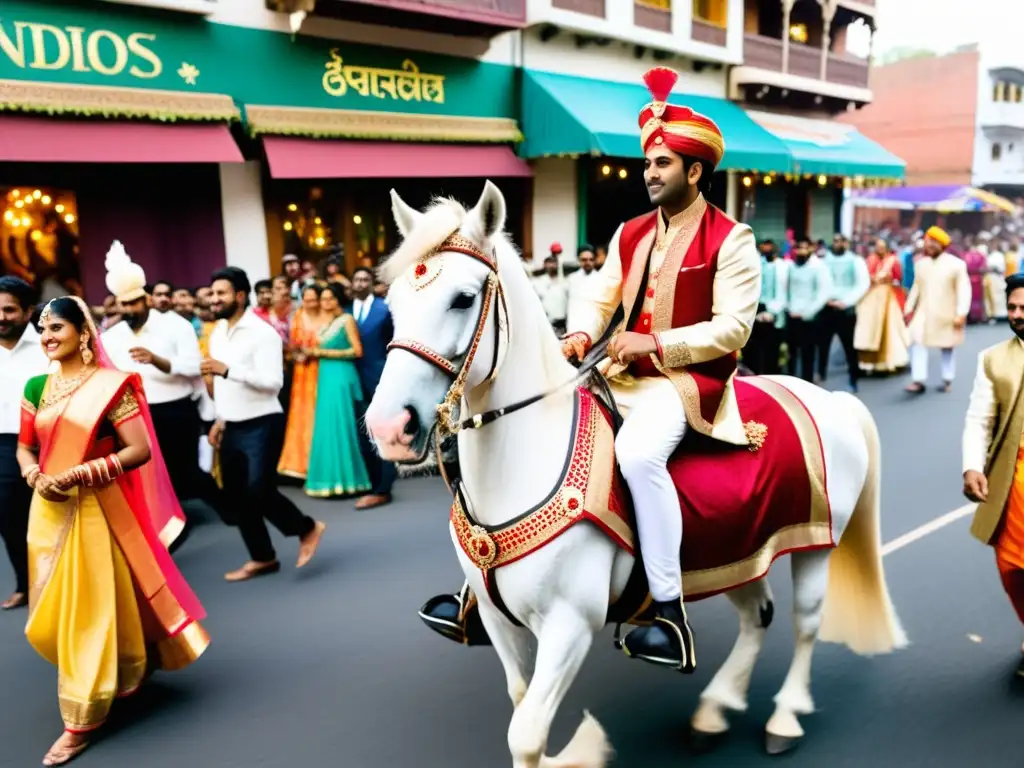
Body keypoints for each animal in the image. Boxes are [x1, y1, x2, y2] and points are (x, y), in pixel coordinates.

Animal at [364, 183, 909, 765]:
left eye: (464, 299)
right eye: (392, 302)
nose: (389, 427)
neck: (523, 461)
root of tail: (824, 397)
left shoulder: (570, 626)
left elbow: (526, 734)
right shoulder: (496, 619)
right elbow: (519, 702)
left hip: (813, 546)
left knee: (804, 620)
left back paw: (784, 714)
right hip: (737, 551)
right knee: (756, 614)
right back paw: (716, 706)